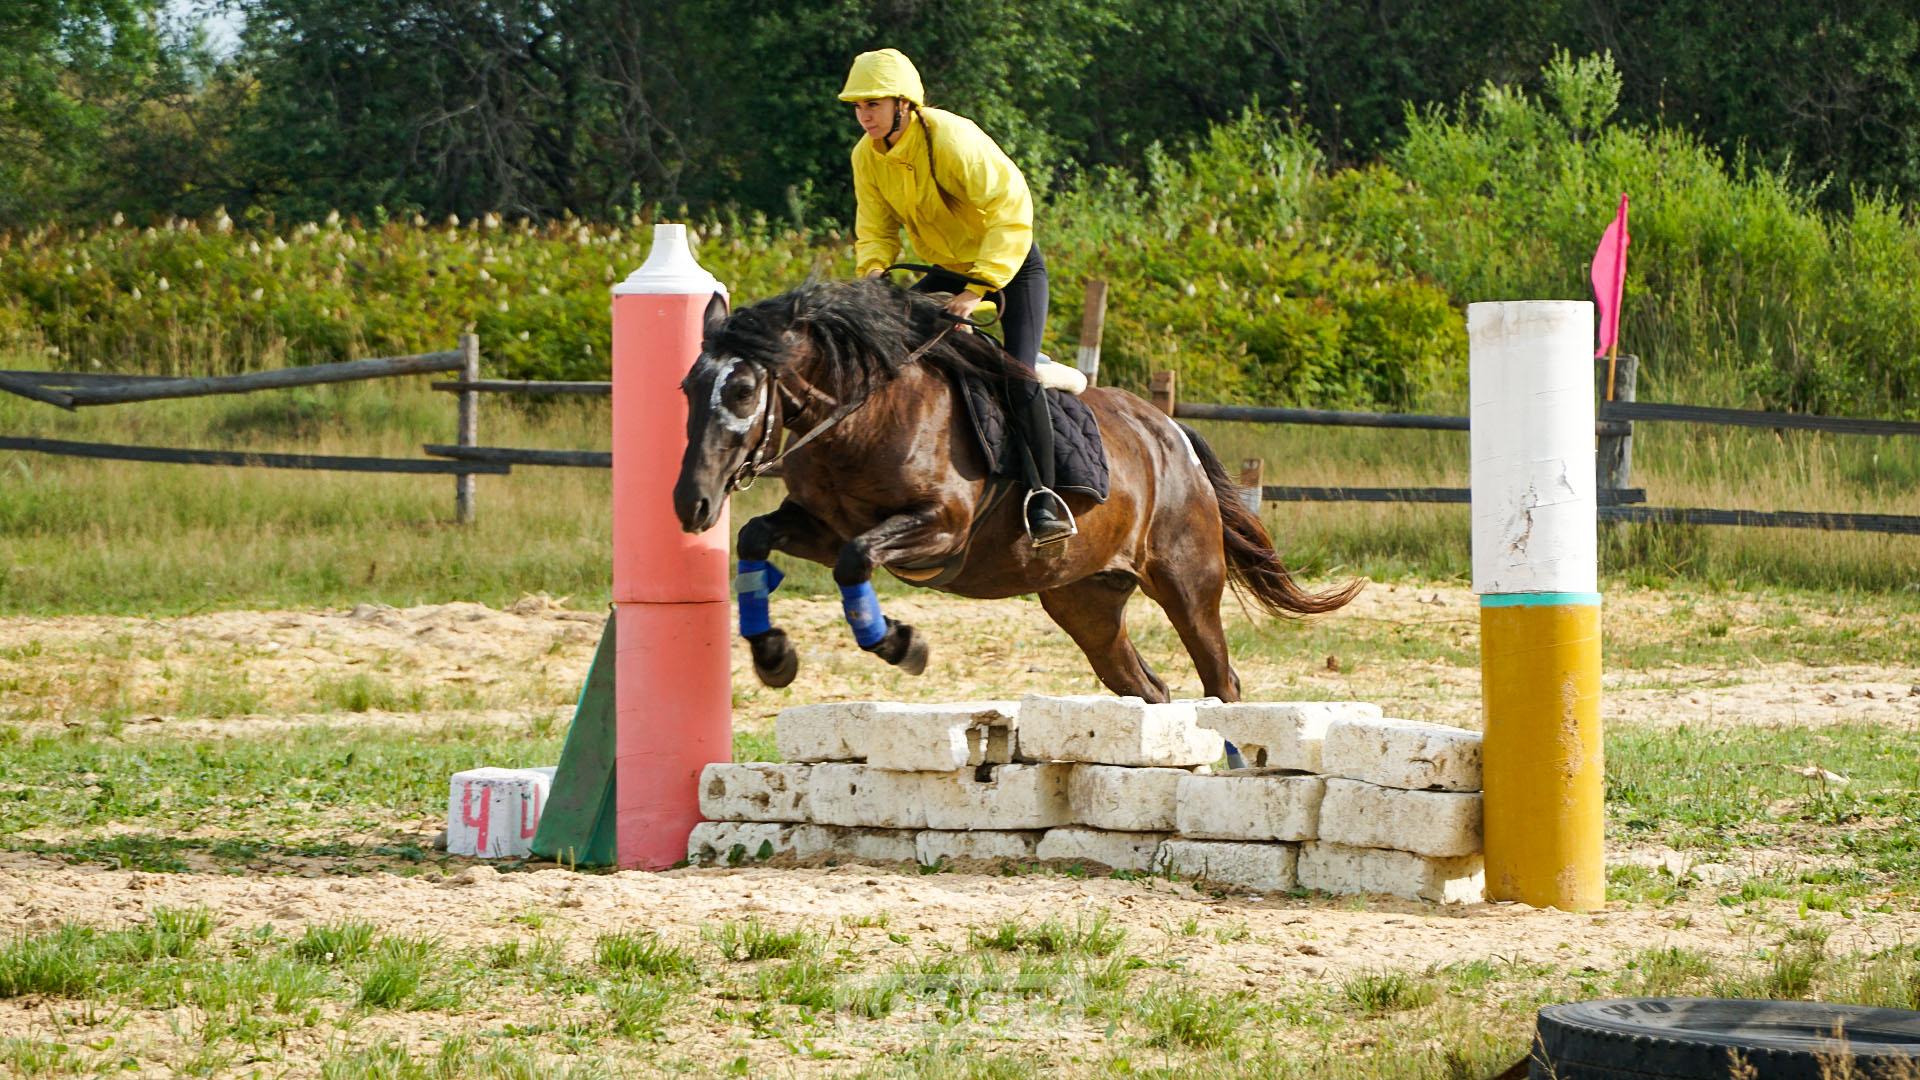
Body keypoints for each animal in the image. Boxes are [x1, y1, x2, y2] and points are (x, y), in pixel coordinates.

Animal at [668, 274, 1359, 699]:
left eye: (742, 390)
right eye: (687, 388)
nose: (691, 504)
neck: (864, 418)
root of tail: (1172, 436)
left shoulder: (940, 529)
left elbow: (855, 559)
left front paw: (901, 645)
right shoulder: (821, 525)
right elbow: (758, 538)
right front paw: (772, 657)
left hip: (1187, 584)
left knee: (1220, 681)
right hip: (1085, 602)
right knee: (1148, 687)